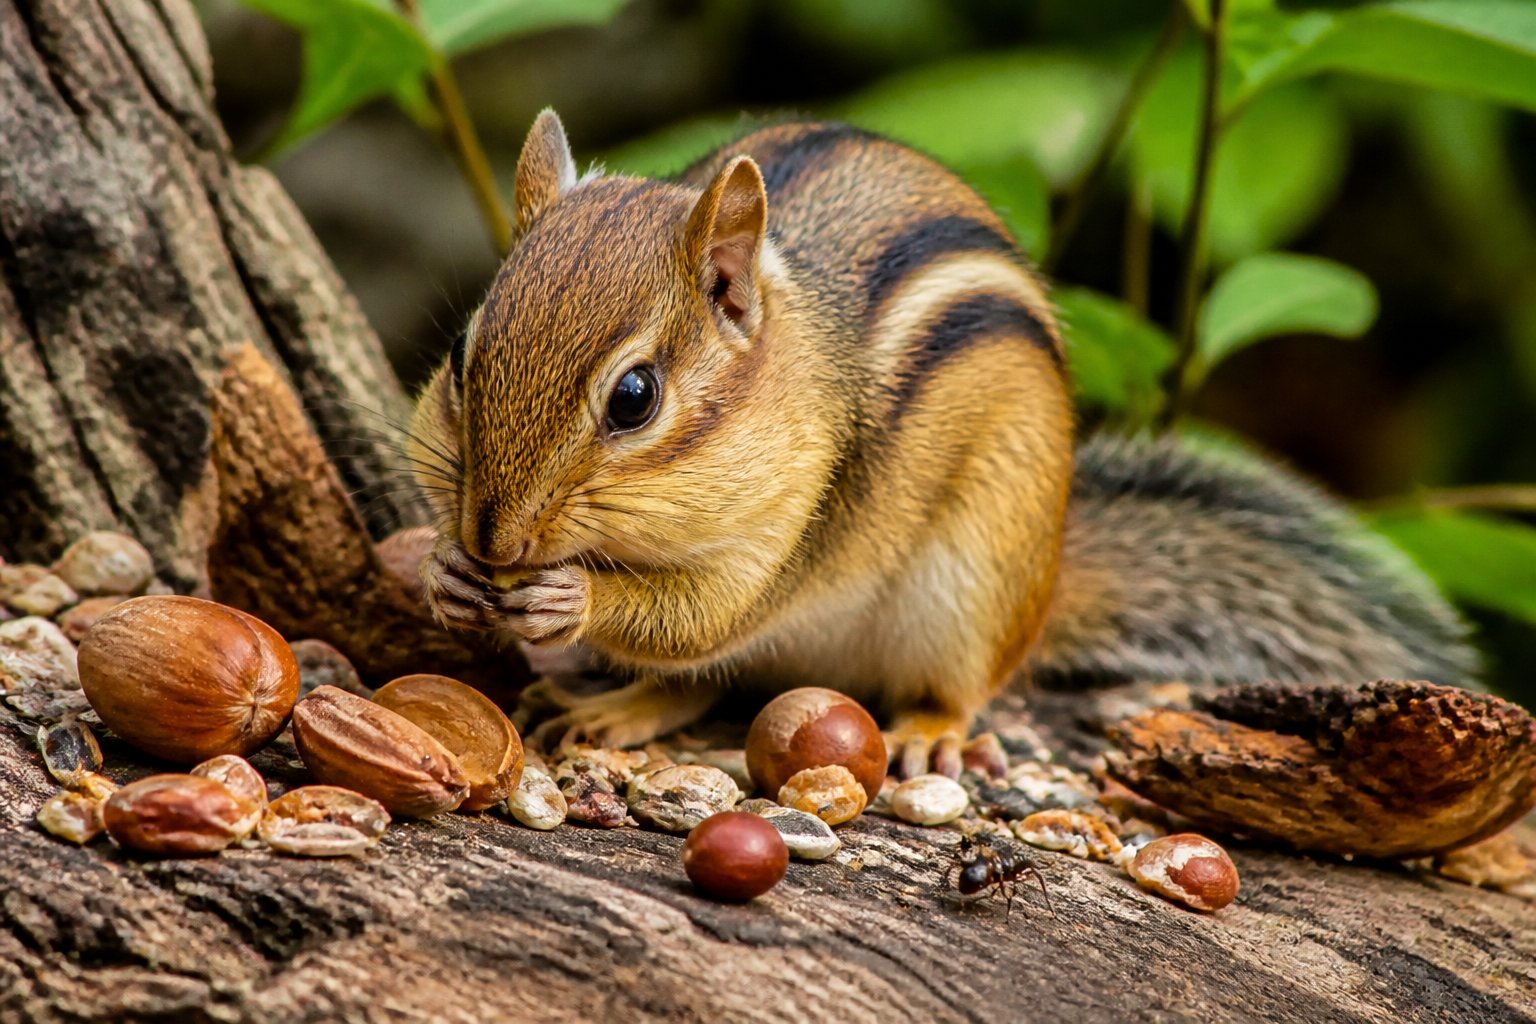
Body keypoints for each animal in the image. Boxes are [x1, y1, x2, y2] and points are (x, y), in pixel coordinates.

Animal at [408, 110, 1475, 776]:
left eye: (634, 398)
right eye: (461, 356)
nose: (496, 541)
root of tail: (1048, 584)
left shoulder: (793, 519)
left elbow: (705, 614)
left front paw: (570, 595)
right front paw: (445, 570)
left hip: (975, 578)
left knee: (944, 681)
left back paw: (928, 731)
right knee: (713, 684)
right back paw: (618, 710)